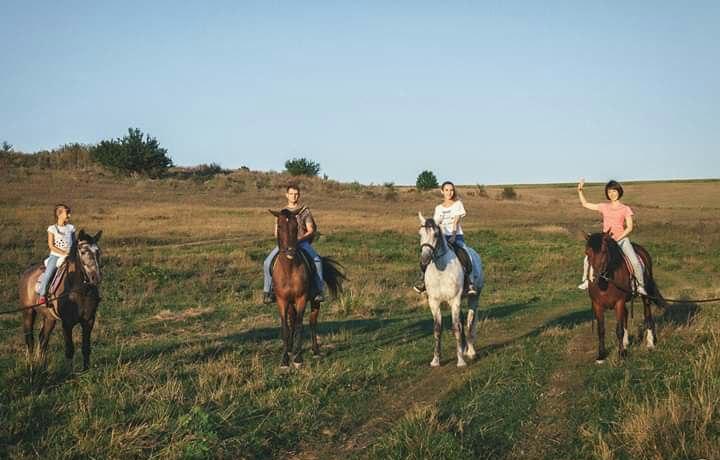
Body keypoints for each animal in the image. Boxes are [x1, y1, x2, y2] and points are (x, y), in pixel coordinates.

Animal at [18, 230, 102, 370]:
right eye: (83, 251)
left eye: (98, 251)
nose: (96, 277)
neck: (79, 291)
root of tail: (27, 273)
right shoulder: (67, 323)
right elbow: (69, 349)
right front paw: (69, 372)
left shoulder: (89, 320)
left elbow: (86, 347)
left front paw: (86, 370)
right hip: (28, 313)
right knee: (29, 339)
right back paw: (31, 364)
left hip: (49, 318)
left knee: (43, 338)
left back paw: (41, 364)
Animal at [272, 210, 348, 368]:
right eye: (279, 226)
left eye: (296, 226)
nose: (290, 251)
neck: (289, 269)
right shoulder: (282, 300)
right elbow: (285, 327)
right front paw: (285, 358)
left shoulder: (301, 299)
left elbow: (300, 325)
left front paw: (298, 358)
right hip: (291, 303)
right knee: (292, 320)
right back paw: (290, 348)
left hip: (314, 301)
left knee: (312, 322)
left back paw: (315, 350)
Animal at [416, 212, 484, 366]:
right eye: (420, 234)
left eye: (435, 234)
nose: (424, 260)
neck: (441, 269)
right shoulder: (434, 302)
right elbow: (437, 329)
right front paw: (435, 360)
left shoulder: (455, 300)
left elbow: (456, 327)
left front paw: (461, 361)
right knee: (463, 322)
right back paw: (464, 349)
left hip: (474, 297)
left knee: (470, 322)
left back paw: (471, 352)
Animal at [584, 234, 664, 362]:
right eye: (587, 252)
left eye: (604, 251)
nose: (595, 277)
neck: (605, 283)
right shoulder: (597, 305)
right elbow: (601, 330)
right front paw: (601, 355)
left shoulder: (619, 302)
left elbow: (619, 330)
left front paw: (621, 353)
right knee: (626, 315)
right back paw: (626, 343)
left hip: (645, 296)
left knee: (647, 316)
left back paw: (650, 343)